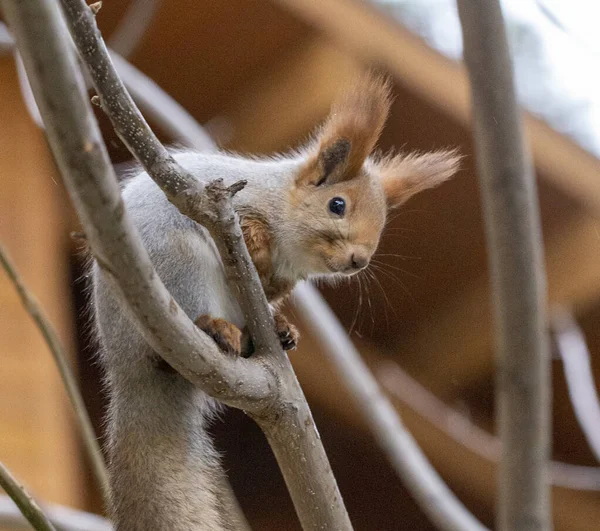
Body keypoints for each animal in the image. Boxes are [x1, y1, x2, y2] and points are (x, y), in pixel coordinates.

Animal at [92, 75, 460, 531]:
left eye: (383, 225)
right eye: (337, 205)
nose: (359, 260)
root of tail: (125, 368)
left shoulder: (284, 280)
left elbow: (271, 291)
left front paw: (280, 320)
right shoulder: (229, 198)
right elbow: (247, 226)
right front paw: (255, 241)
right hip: (178, 267)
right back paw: (215, 327)